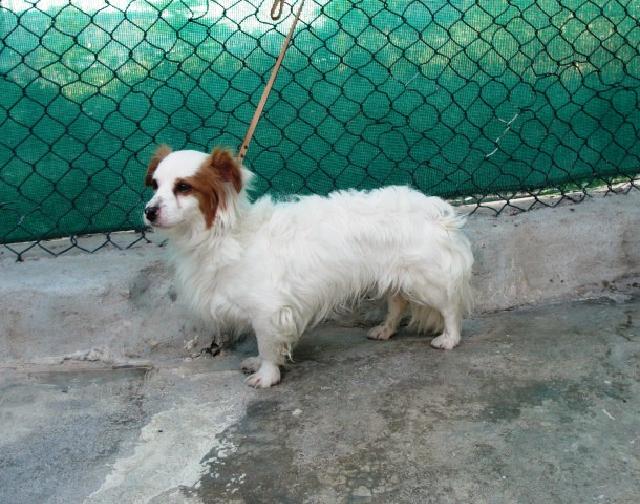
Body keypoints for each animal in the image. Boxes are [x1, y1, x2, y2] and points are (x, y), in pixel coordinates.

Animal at [143, 146, 474, 388]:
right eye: (155, 185)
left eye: (183, 187)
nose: (148, 211)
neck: (228, 235)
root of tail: (434, 208)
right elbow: (266, 346)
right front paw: (260, 364)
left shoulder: (268, 311)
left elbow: (266, 344)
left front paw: (266, 375)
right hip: (395, 276)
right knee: (397, 304)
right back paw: (386, 330)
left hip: (427, 281)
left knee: (450, 308)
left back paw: (450, 338)